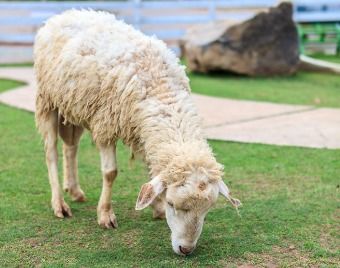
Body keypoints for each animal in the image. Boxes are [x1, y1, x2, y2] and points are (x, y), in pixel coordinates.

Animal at [34, 9, 240, 255]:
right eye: (173, 204)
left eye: (207, 210)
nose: (186, 249)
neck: (160, 88)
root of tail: (66, 14)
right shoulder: (106, 124)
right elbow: (110, 173)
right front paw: (105, 215)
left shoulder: (143, 132)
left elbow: (151, 172)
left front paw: (156, 207)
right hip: (47, 101)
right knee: (51, 153)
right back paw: (59, 204)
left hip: (73, 105)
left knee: (70, 147)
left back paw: (74, 190)